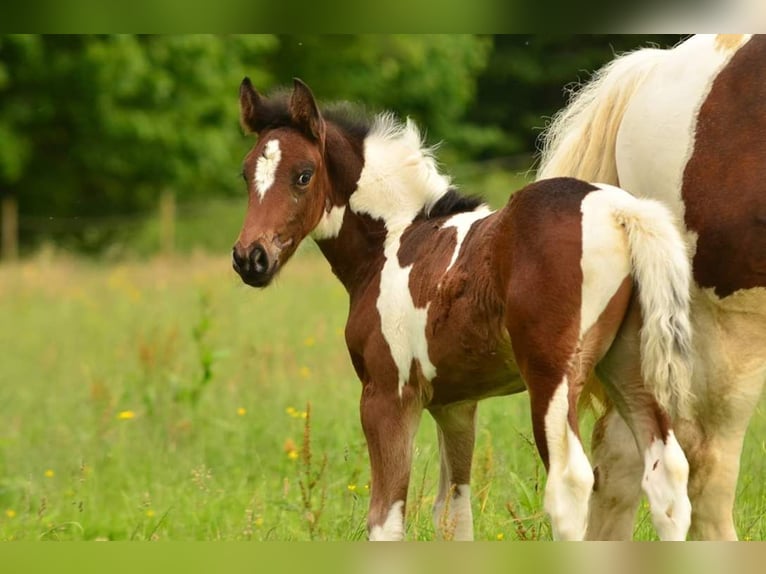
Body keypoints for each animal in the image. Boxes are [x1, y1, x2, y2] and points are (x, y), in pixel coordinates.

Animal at [232, 77, 695, 541]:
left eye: (303, 175)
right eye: (245, 173)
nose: (250, 259)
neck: (393, 241)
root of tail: (622, 211)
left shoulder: (387, 394)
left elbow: (385, 519)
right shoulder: (454, 405)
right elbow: (454, 514)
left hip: (553, 378)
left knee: (570, 485)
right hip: (630, 369)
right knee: (667, 477)